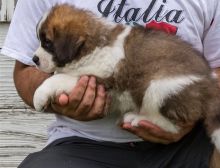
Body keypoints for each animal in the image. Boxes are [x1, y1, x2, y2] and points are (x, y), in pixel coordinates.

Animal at [32, 3, 220, 151]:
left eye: (47, 43)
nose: (34, 59)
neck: (92, 45)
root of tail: (209, 85)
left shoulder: (101, 77)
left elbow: (57, 79)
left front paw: (39, 97)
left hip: (158, 85)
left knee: (172, 126)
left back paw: (138, 118)